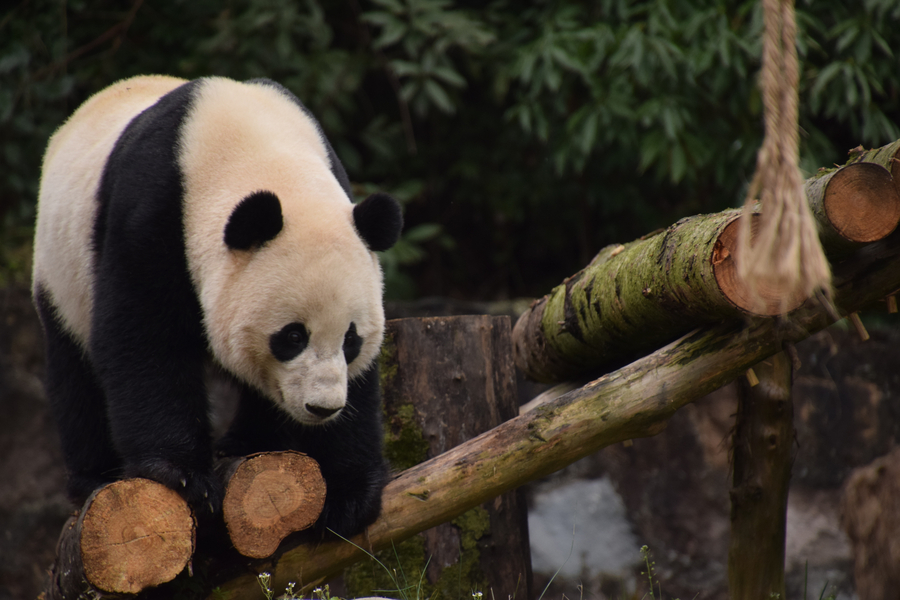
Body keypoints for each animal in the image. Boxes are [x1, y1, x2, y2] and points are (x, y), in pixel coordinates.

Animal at [31, 75, 403, 538]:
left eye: (351, 340)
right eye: (292, 336)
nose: (322, 408)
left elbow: (362, 386)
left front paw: (349, 496)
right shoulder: (153, 212)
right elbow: (142, 337)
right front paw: (181, 476)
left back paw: (251, 443)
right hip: (61, 270)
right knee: (73, 368)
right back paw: (94, 476)